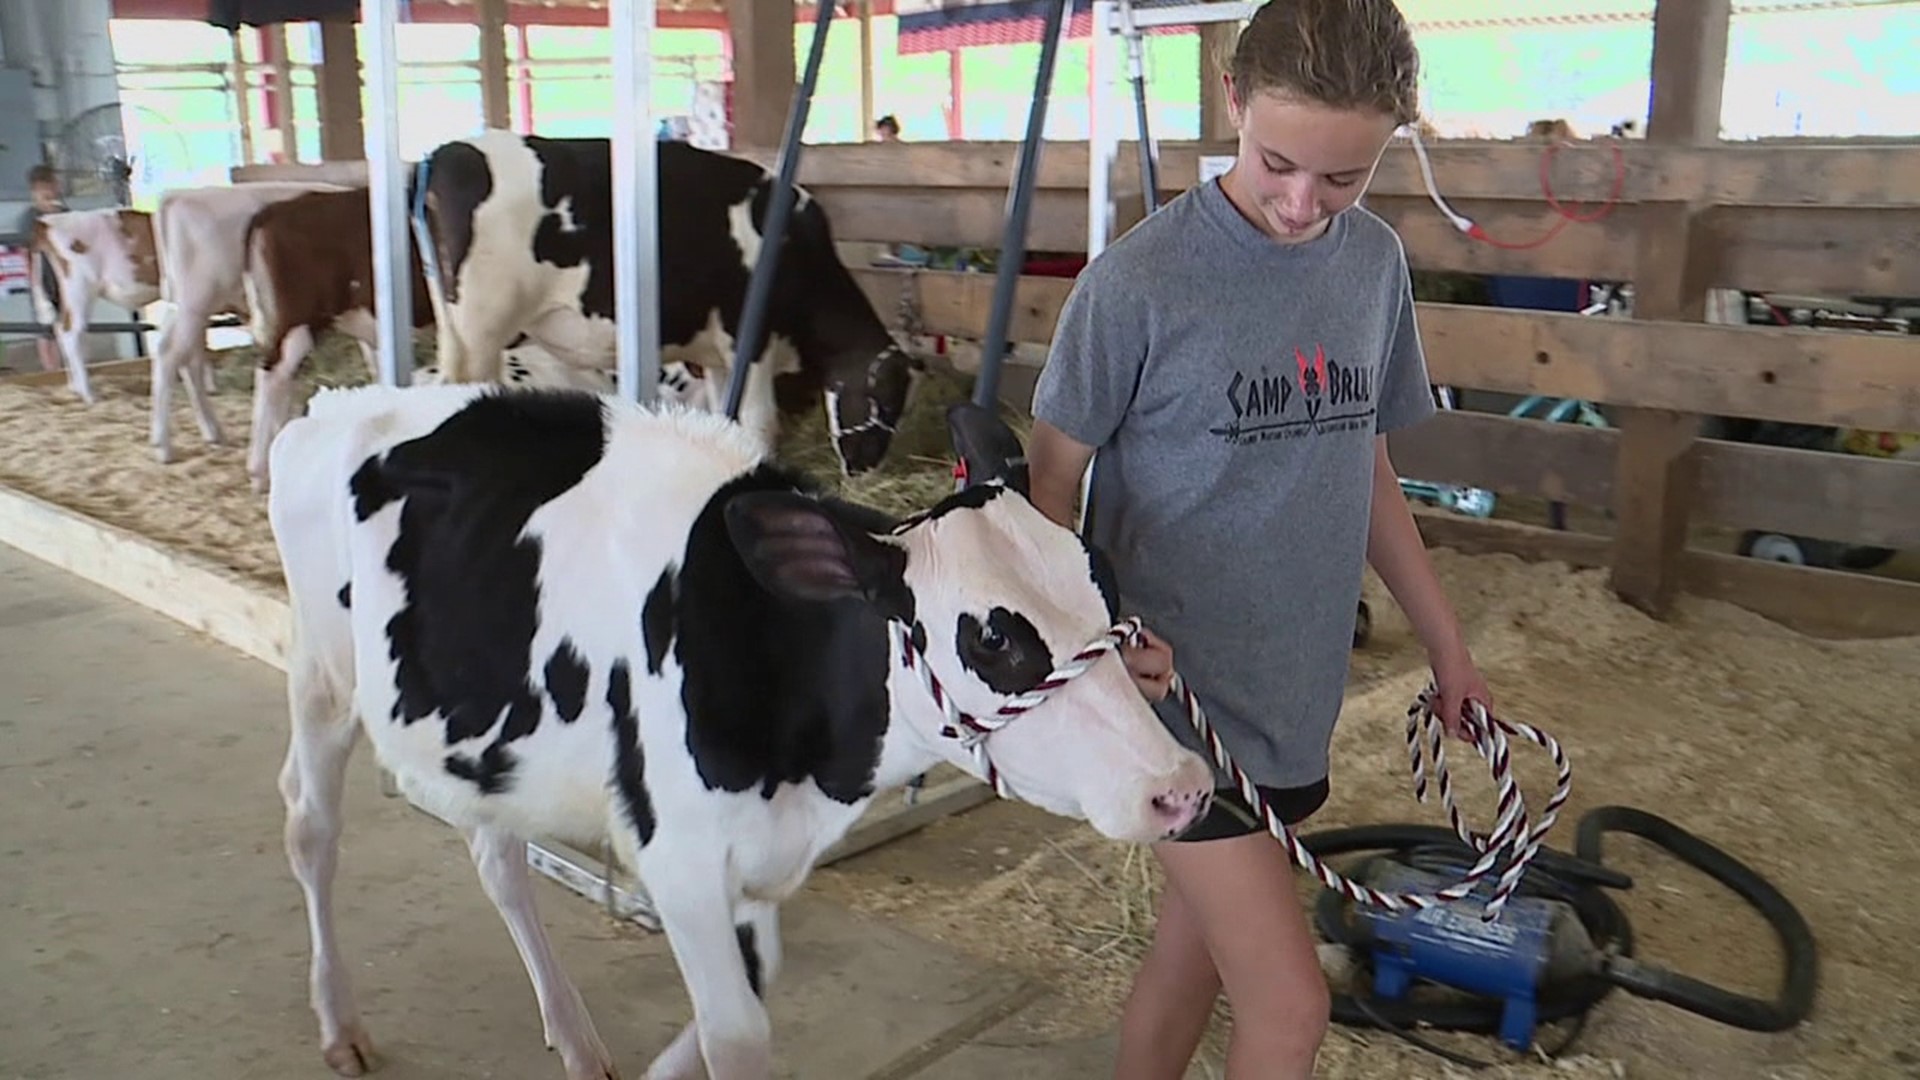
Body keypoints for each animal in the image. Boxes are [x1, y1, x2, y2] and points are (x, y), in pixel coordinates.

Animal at [266, 386, 1213, 1076]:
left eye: (1104, 579)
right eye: (991, 637)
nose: (1183, 787)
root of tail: (334, 405)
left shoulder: (757, 859)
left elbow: (753, 994)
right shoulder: (677, 858)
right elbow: (737, 1033)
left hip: (487, 745)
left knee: (498, 859)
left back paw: (574, 1037)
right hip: (323, 673)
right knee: (309, 825)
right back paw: (339, 1024)